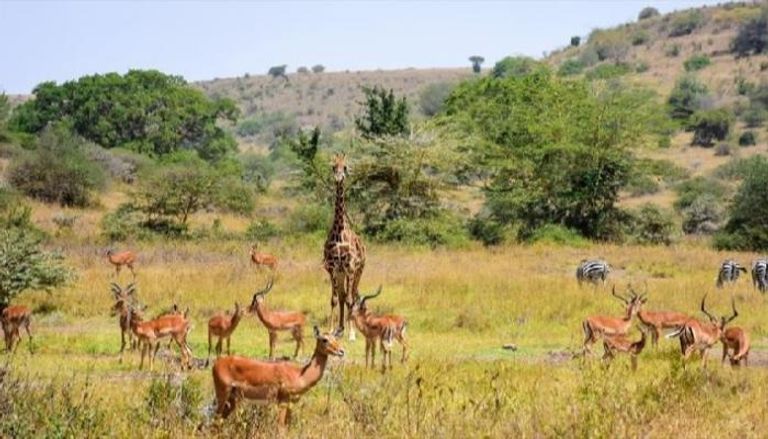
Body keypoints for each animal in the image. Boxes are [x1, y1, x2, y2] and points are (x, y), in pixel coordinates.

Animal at [210, 328, 342, 432]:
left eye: (336, 338)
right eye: (324, 339)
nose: (341, 351)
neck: (300, 374)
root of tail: (216, 363)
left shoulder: (290, 404)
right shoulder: (282, 402)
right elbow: (281, 429)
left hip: (232, 400)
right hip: (223, 394)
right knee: (214, 421)